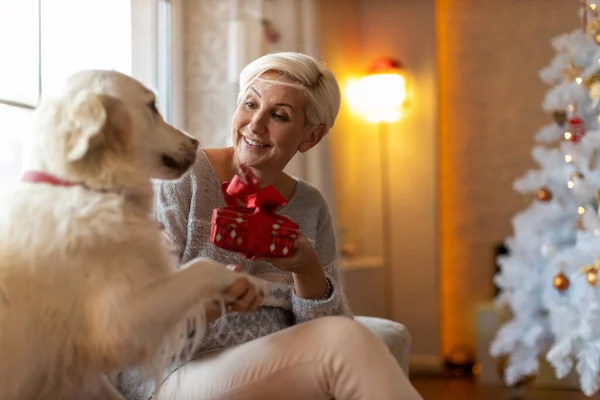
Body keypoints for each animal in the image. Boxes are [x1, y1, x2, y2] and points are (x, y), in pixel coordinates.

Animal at [0, 70, 264, 398]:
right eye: (152, 106)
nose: (196, 141)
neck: (88, 187)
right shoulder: (119, 322)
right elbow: (202, 267)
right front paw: (246, 282)